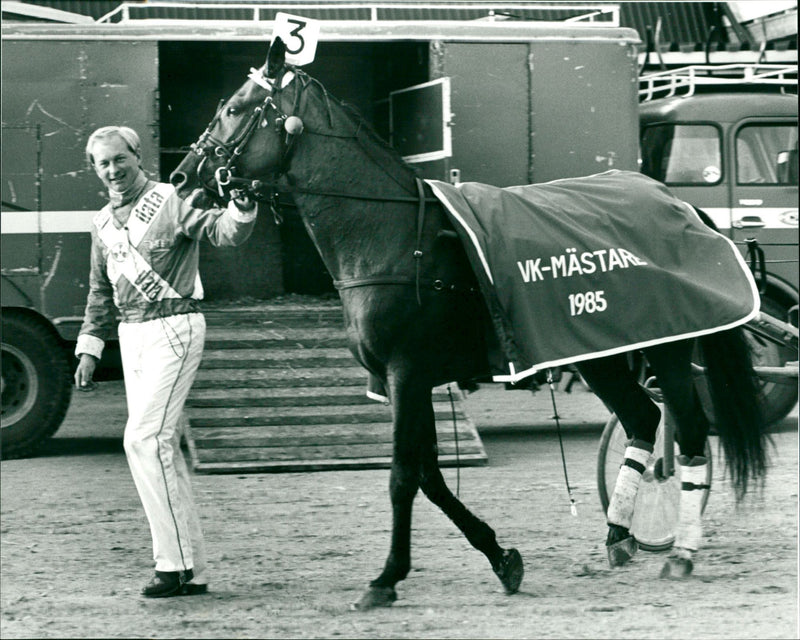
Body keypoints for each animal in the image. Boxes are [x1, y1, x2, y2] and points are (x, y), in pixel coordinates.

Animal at [170, 37, 768, 608]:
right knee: (643, 418)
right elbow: (430, 476)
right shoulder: (414, 383)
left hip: (669, 346)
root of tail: (679, 204)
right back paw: (618, 535)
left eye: (234, 108)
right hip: (598, 352)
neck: (392, 237)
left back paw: (682, 551)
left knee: (688, 434)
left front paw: (387, 576)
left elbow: (403, 476)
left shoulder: (407, 373)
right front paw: (500, 557)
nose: (181, 175)